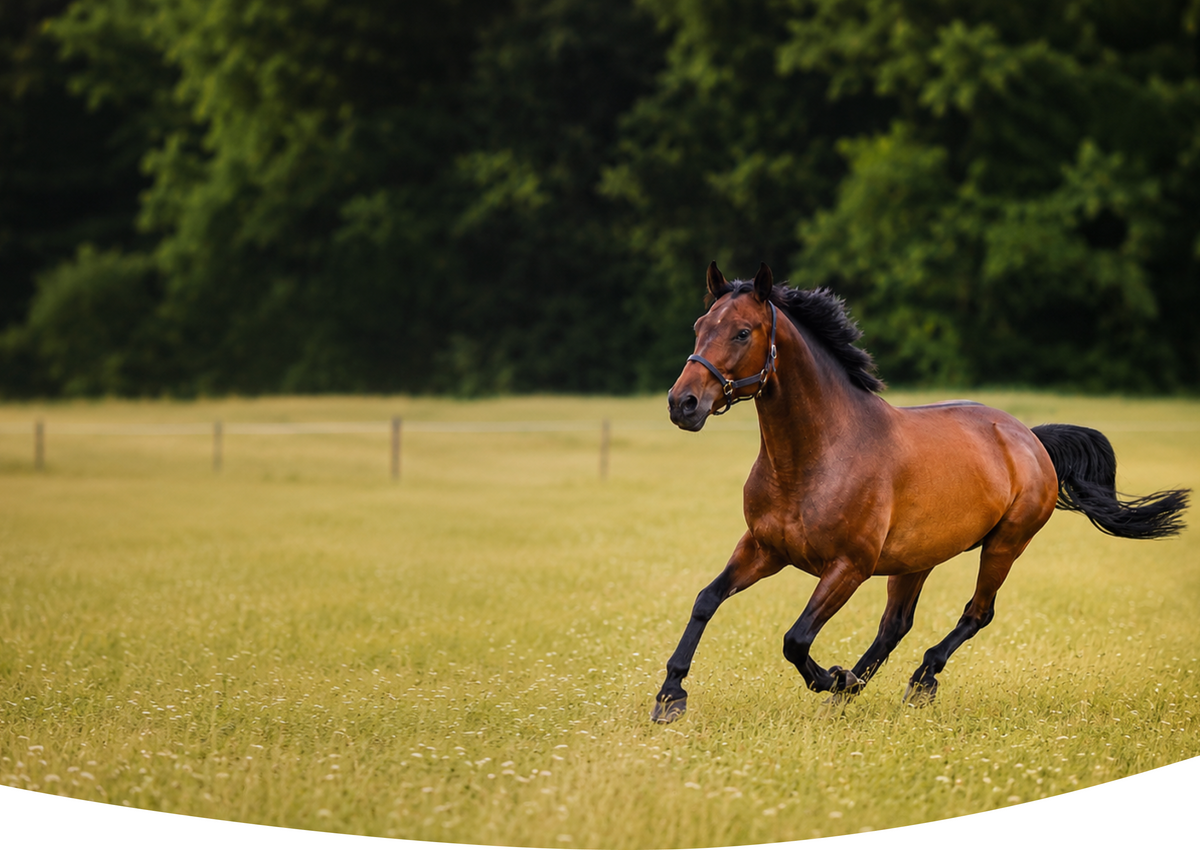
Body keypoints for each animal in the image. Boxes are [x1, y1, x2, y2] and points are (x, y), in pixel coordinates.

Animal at [650, 261, 1189, 723]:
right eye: (700, 325)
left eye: (743, 332)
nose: (683, 404)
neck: (812, 459)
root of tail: (1030, 439)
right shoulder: (763, 548)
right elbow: (706, 599)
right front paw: (670, 697)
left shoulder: (848, 566)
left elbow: (796, 639)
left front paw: (831, 677)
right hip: (916, 560)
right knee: (895, 626)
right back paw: (852, 691)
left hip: (1005, 545)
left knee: (976, 613)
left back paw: (916, 681)